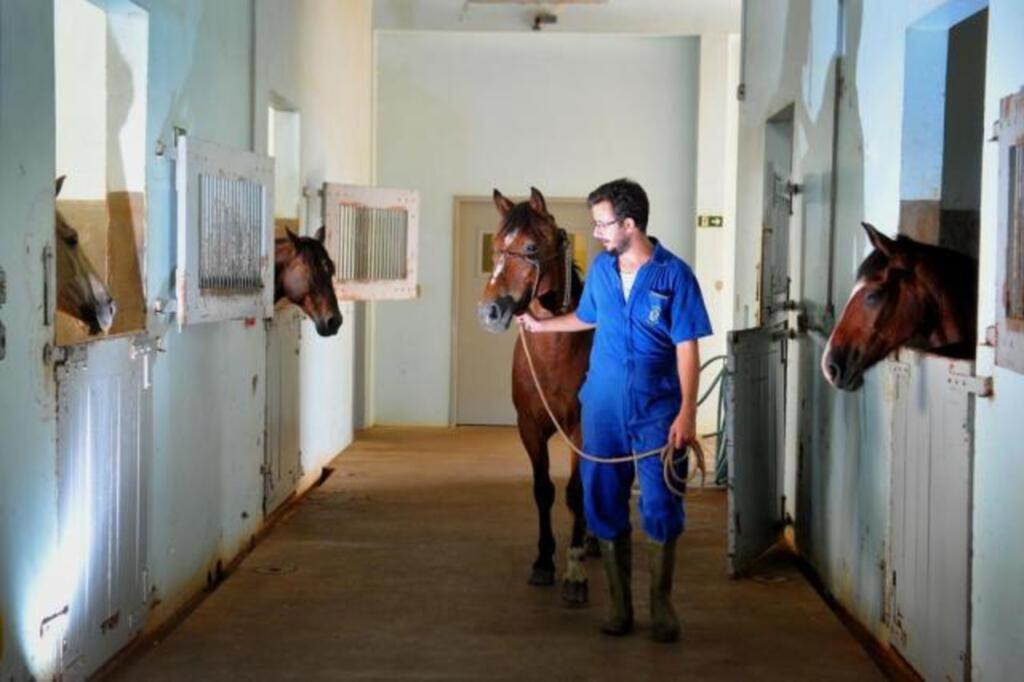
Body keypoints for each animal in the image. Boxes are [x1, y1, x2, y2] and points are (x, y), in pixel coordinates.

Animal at [477, 187, 593, 606]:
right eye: (496, 245)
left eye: (530, 246)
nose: (489, 312)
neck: (554, 351)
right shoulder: (529, 427)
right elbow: (543, 490)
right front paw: (544, 561)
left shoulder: (581, 429)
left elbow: (576, 493)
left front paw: (575, 573)